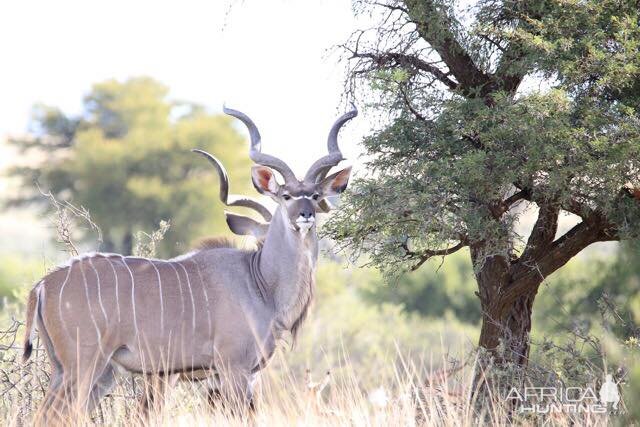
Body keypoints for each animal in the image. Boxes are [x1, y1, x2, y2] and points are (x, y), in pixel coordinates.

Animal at [21, 104, 356, 422]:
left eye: (315, 195)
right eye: (286, 196)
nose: (306, 215)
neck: (260, 281)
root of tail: (43, 285)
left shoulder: (233, 375)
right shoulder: (233, 368)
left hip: (85, 371)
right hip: (84, 366)